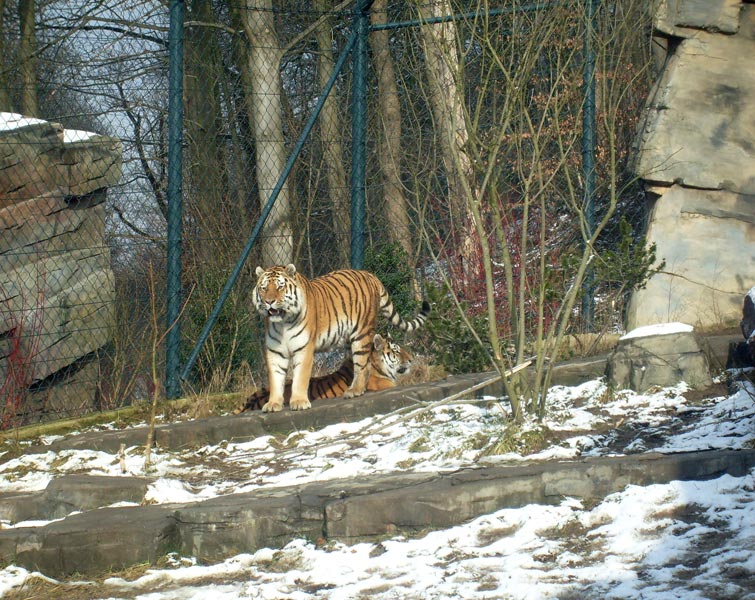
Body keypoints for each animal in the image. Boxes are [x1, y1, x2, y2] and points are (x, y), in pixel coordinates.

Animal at [254, 264, 432, 412]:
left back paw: (355, 390)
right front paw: (273, 404)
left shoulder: (304, 348)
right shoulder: (275, 352)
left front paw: (298, 402)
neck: (282, 323)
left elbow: (300, 377)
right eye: (263, 288)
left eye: (280, 286)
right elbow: (276, 378)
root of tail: (369, 274)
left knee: (362, 364)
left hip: (361, 332)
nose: (269, 301)